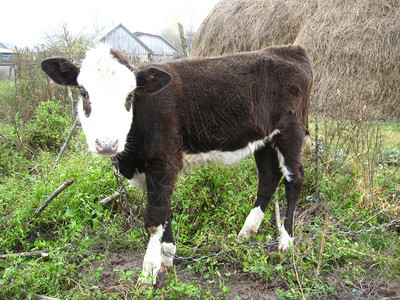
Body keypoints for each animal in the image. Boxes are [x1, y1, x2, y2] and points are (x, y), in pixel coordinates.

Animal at [42, 43, 314, 284]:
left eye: (130, 95)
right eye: (84, 93)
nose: (107, 144)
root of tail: (290, 49)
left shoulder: (164, 160)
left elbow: (154, 218)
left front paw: (148, 272)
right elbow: (164, 210)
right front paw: (167, 257)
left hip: (291, 132)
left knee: (294, 180)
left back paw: (286, 241)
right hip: (264, 139)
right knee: (268, 178)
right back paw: (246, 234)